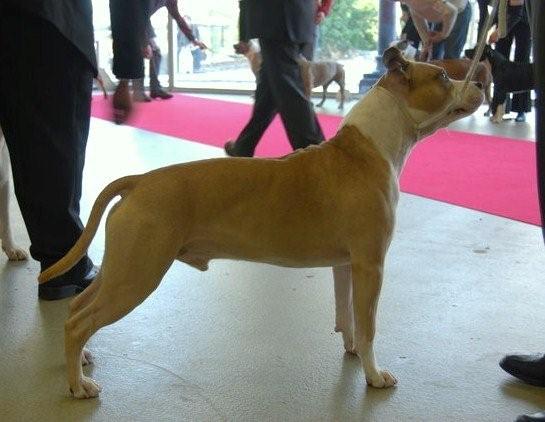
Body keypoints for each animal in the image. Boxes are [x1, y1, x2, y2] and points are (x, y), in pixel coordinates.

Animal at [39, 47, 483, 399]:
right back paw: (78, 385)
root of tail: (140, 181)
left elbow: (348, 315)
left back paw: (83, 358)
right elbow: (370, 324)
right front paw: (374, 375)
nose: (479, 81)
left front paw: (353, 352)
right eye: (443, 76)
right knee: (78, 323)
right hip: (137, 274)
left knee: (76, 308)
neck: (370, 147)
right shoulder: (371, 265)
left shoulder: (347, 264)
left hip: (122, 269)